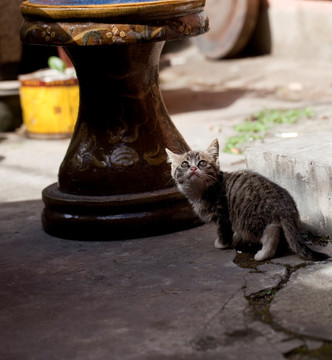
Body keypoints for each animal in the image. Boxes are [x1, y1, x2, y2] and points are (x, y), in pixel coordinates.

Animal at [166, 139, 330, 262]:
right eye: (185, 164)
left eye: (202, 163)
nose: (193, 168)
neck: (201, 190)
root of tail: (285, 207)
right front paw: (235, 239)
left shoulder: (222, 215)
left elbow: (223, 231)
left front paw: (222, 244)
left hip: (248, 216)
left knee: (271, 230)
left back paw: (263, 254)